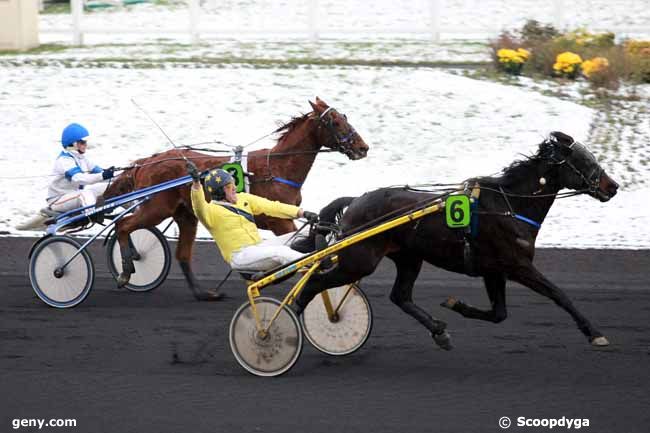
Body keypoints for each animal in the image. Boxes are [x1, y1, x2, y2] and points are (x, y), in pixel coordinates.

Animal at [100, 98, 364, 300]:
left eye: (345, 117)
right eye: (335, 122)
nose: (363, 148)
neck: (277, 167)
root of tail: (146, 162)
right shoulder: (279, 222)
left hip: (186, 215)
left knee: (182, 254)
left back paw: (203, 293)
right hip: (156, 207)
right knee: (122, 225)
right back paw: (126, 270)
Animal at [294, 131, 616, 348]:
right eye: (583, 160)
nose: (612, 186)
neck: (510, 205)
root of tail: (356, 200)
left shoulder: (494, 270)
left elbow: (499, 314)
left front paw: (454, 304)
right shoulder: (517, 266)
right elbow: (558, 294)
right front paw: (594, 333)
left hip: (409, 257)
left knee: (400, 296)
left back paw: (438, 331)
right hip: (359, 260)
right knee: (314, 282)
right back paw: (291, 317)